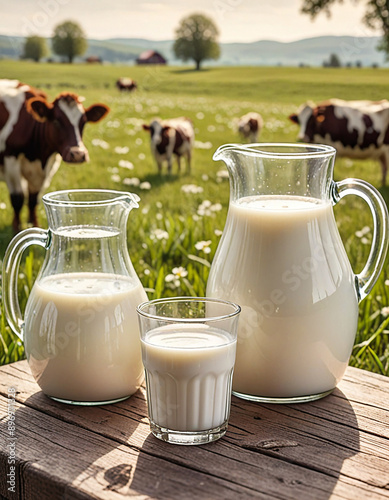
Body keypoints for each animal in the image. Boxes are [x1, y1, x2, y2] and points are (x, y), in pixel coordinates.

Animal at [0, 80, 109, 232]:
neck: (38, 155)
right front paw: (17, 228)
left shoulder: (48, 167)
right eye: (56, 121)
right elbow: (18, 199)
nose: (78, 154)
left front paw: (34, 224)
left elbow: (33, 199)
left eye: (83, 122)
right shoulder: (11, 161)